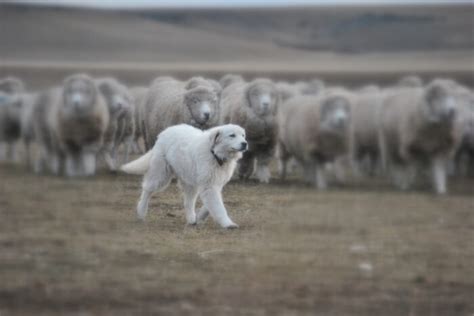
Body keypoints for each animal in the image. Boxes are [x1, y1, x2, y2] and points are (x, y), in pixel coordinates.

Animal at [120, 123, 248, 227]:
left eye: (243, 135)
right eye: (232, 135)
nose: (245, 143)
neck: (215, 153)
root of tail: (164, 132)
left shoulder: (215, 184)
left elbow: (211, 205)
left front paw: (201, 217)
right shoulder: (209, 186)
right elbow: (218, 206)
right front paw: (228, 224)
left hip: (189, 181)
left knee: (188, 202)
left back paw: (192, 219)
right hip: (161, 176)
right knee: (147, 190)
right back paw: (141, 212)